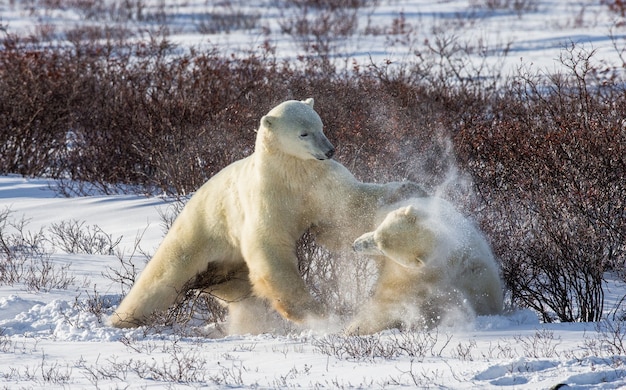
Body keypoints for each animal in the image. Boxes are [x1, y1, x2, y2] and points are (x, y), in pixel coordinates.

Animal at [111, 98, 424, 332]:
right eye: (303, 132)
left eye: (320, 125)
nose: (329, 150)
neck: (292, 171)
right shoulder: (267, 195)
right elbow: (270, 245)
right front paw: (313, 312)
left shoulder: (320, 183)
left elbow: (347, 208)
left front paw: (409, 187)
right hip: (200, 227)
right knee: (162, 276)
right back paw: (121, 319)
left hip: (229, 262)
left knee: (240, 291)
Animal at [346, 198, 502, 336]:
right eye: (378, 232)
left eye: (382, 249)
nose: (355, 245)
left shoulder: (421, 277)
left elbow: (389, 301)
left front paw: (353, 328)